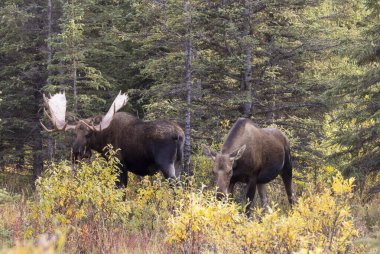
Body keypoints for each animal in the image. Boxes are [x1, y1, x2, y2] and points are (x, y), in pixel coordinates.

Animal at [40, 92, 184, 186]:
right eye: (75, 133)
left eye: (88, 134)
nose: (75, 152)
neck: (103, 141)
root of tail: (179, 135)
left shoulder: (120, 164)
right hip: (178, 164)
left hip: (166, 164)